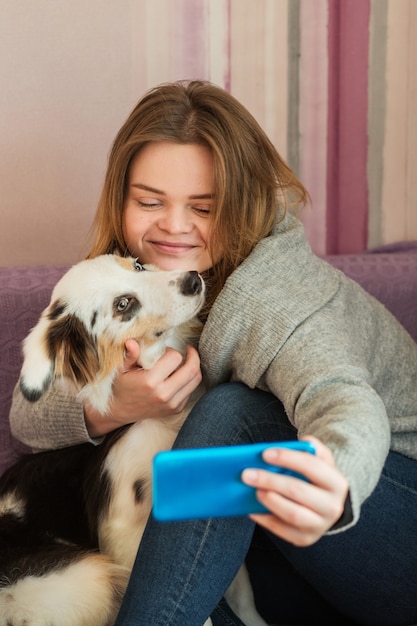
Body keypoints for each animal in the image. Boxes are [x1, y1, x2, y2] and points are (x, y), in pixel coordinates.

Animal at [0, 254, 266, 624]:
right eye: (123, 305)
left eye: (138, 266)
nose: (193, 280)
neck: (165, 421)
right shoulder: (123, 530)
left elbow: (242, 593)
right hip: (86, 575)